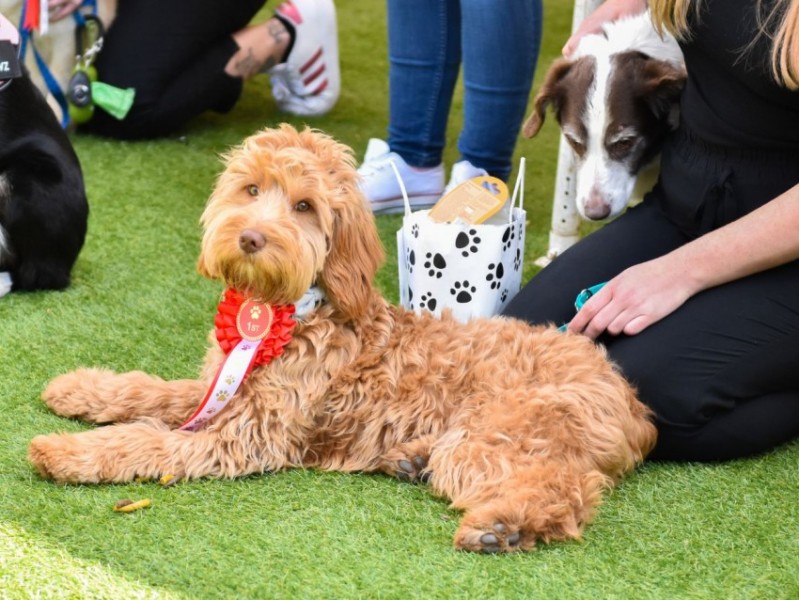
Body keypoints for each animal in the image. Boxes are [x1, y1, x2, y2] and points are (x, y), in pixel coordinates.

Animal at [29, 124, 656, 556]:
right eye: (251, 188)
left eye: (304, 206)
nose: (251, 237)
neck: (296, 309)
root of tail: (629, 398)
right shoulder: (220, 388)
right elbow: (150, 391)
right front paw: (79, 389)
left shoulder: (248, 435)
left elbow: (146, 441)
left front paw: (67, 451)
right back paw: (411, 460)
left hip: (499, 430)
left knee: (567, 489)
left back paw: (503, 526)